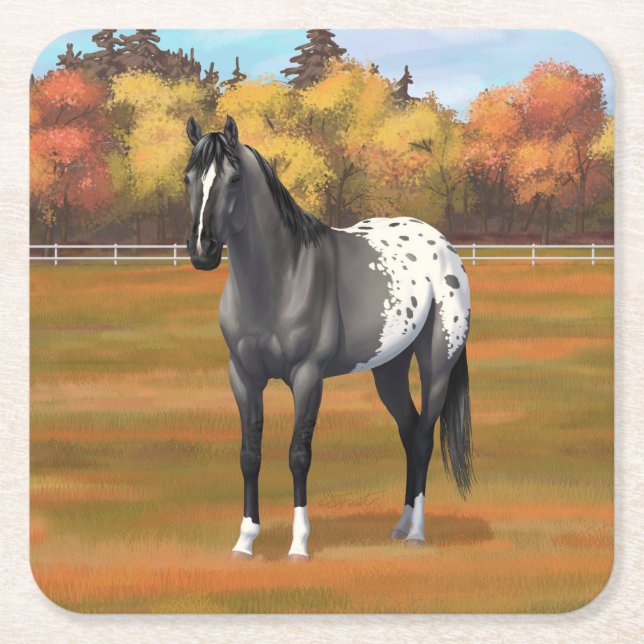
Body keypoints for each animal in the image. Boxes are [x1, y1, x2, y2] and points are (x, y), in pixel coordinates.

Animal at [184, 115, 473, 561]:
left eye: (233, 179)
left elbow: (299, 456)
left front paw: (299, 545)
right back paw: (400, 525)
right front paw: (245, 541)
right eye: (187, 179)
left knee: (423, 437)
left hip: (437, 364)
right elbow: (250, 455)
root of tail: (444, 246)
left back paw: (417, 533)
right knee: (408, 432)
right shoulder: (244, 377)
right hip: (389, 368)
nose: (202, 251)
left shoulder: (308, 378)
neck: (280, 278)